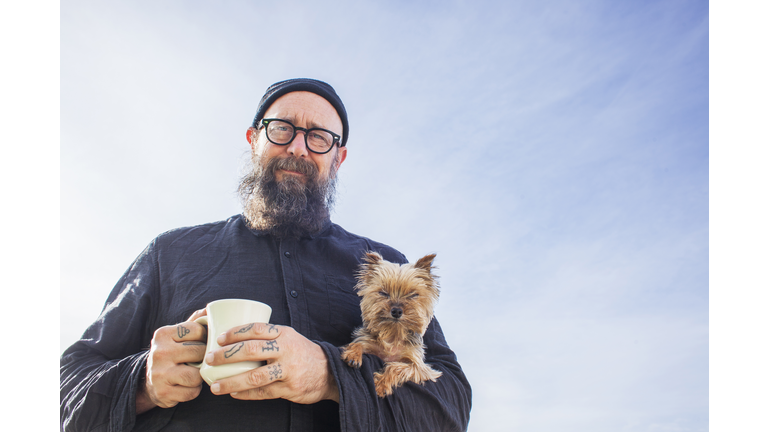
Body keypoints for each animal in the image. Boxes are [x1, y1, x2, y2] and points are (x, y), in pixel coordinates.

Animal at [340, 251, 440, 396]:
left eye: (412, 295)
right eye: (383, 293)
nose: (396, 311)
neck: (393, 333)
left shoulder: (420, 368)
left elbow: (396, 367)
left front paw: (381, 384)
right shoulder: (368, 341)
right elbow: (359, 343)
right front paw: (353, 354)